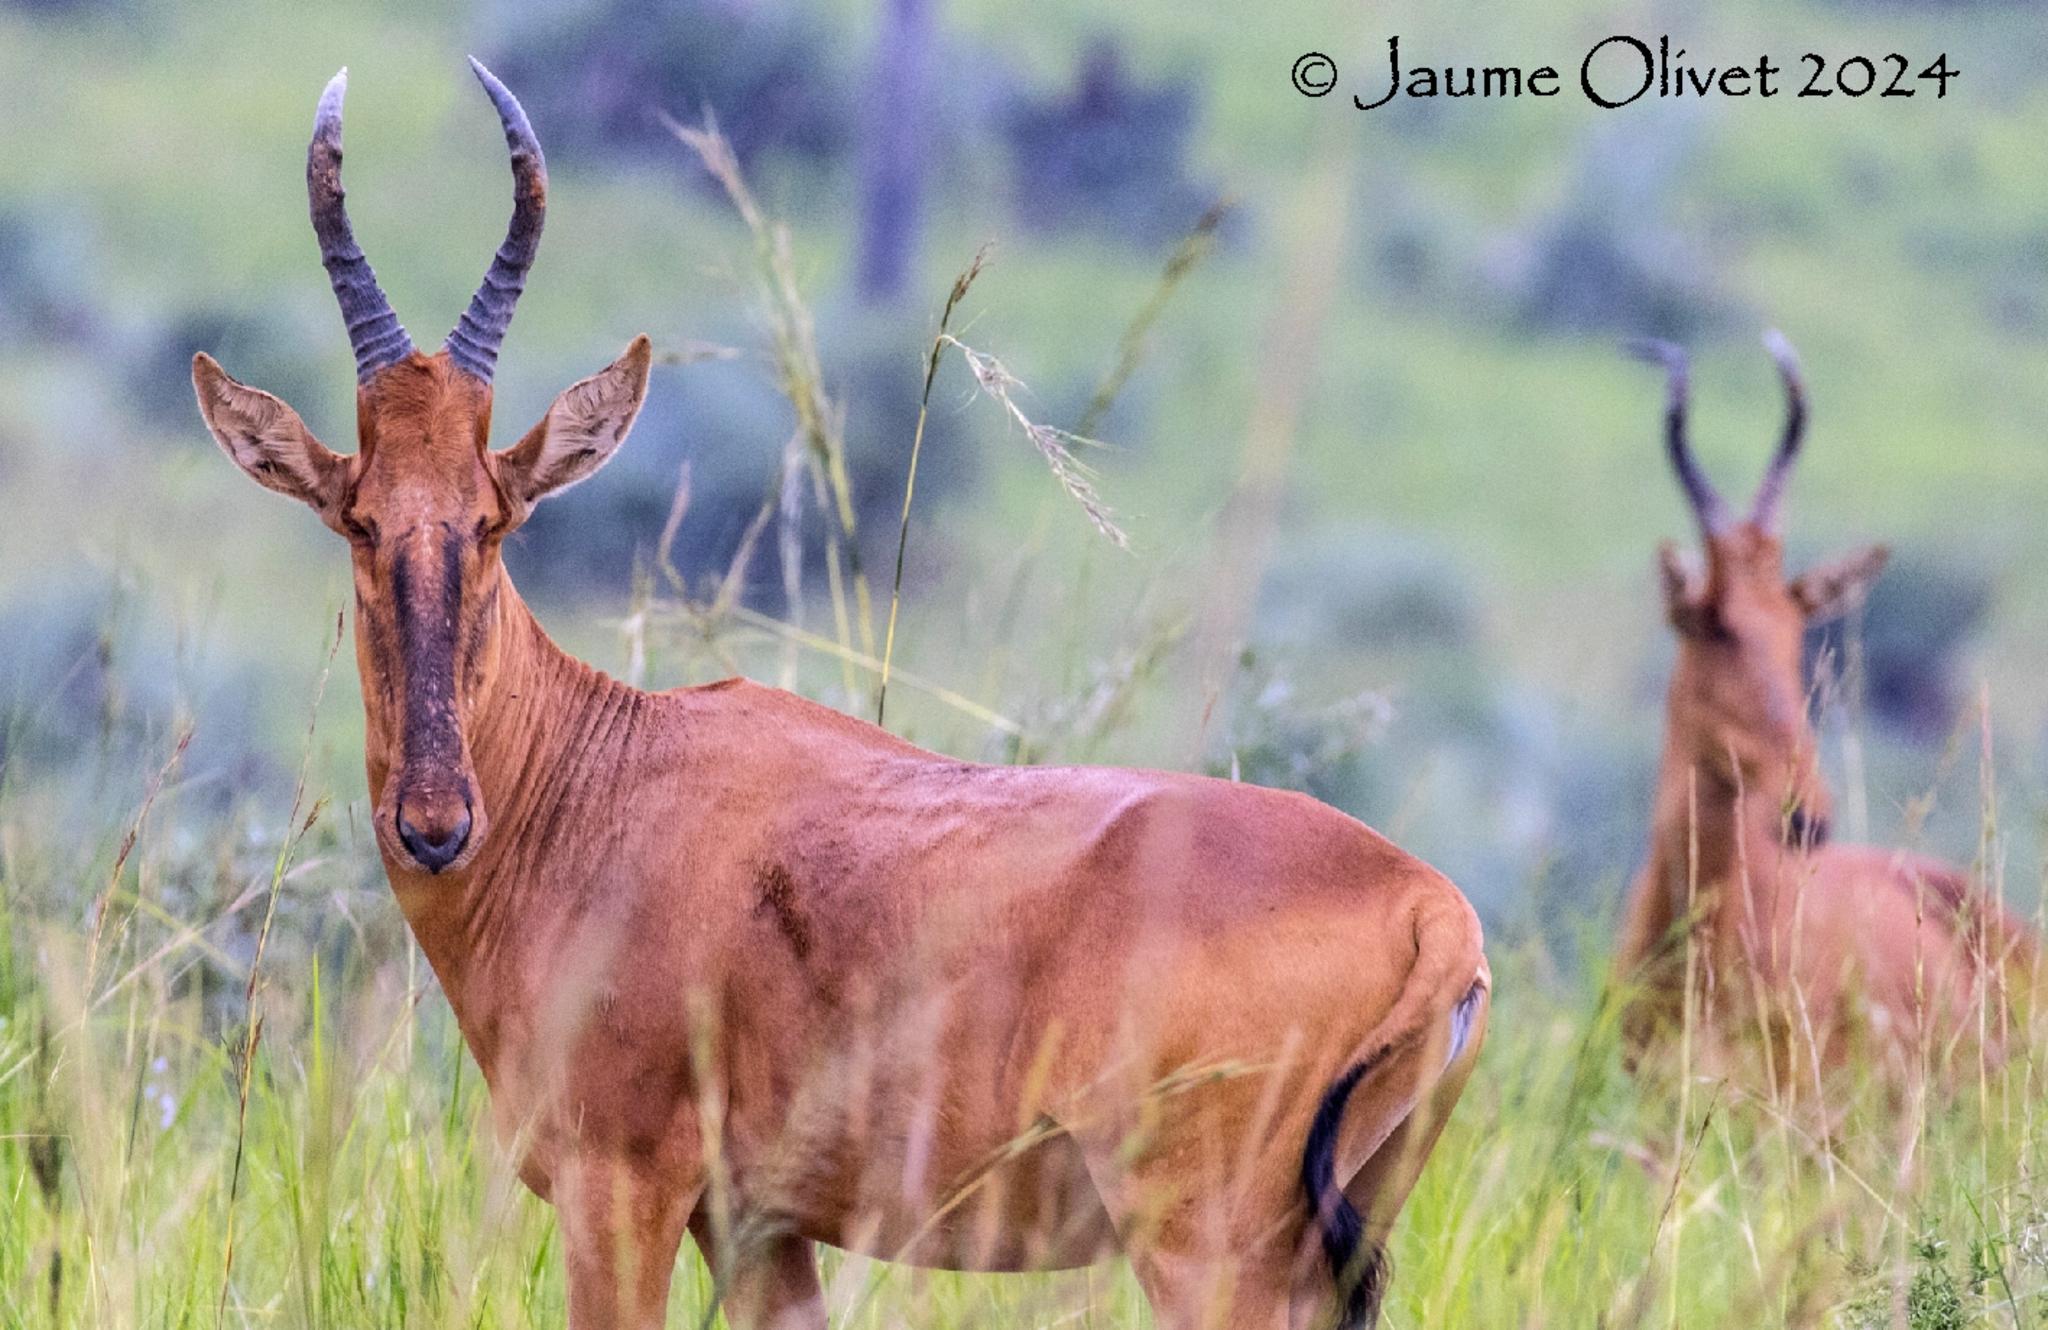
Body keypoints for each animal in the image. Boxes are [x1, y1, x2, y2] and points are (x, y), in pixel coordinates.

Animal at [188, 62, 1490, 1327]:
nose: (434, 823)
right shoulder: (758, 1227)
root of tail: (1433, 912)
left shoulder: (622, 1188)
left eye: (494, 516)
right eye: (359, 516)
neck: (601, 776)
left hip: (1204, 1250)